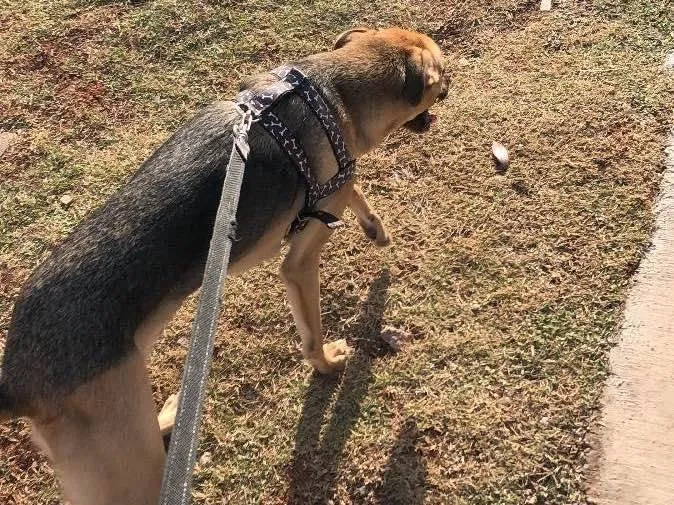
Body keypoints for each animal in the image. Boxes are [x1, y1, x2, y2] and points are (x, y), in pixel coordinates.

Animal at [2, 27, 448, 504]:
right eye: (441, 75)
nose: (452, 85)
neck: (332, 94)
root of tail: (15, 382)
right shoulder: (300, 261)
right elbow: (313, 335)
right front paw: (329, 363)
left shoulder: (335, 192)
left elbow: (355, 191)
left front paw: (374, 228)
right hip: (125, 459)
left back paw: (172, 414)